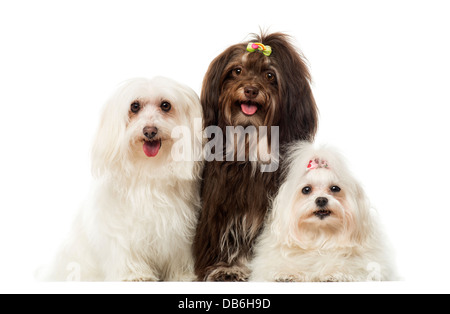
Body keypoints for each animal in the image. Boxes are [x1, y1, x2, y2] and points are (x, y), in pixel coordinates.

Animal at [42, 76, 204, 282]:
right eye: (134, 106)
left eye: (166, 105)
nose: (149, 131)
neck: (149, 170)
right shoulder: (120, 228)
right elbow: (126, 249)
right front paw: (135, 275)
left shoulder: (178, 229)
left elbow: (179, 254)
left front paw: (182, 275)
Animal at [251, 142, 396, 282]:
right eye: (306, 189)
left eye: (335, 188)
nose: (321, 200)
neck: (320, 234)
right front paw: (287, 272)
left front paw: (333, 272)